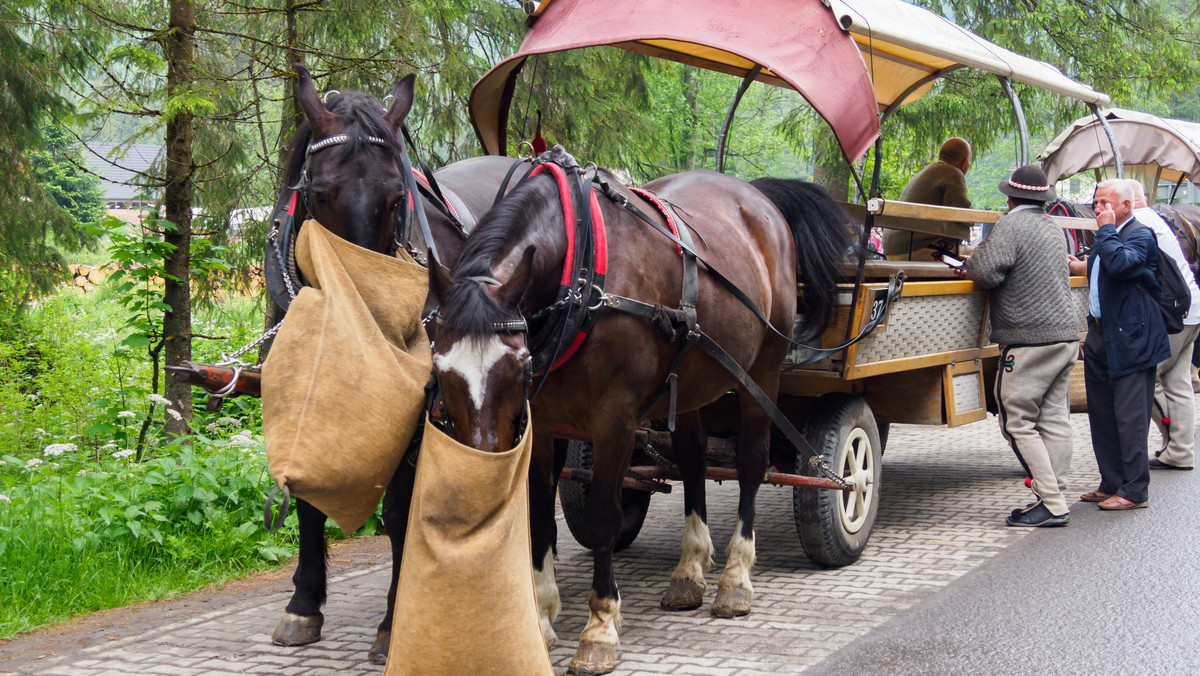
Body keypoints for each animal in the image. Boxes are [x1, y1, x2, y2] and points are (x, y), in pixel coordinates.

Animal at [267, 64, 530, 667]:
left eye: (394, 198)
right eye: (320, 194)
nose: (375, 316)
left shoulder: (421, 407)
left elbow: (400, 510)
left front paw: (393, 622)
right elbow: (309, 502)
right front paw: (303, 604)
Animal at [427, 153, 849, 676]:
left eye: (519, 364)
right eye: (440, 368)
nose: (482, 468)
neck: (580, 274)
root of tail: (756, 196)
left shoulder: (615, 420)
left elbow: (604, 520)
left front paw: (599, 628)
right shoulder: (542, 421)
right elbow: (539, 519)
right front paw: (541, 621)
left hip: (763, 370)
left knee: (753, 462)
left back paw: (735, 578)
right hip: (693, 380)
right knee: (693, 460)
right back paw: (690, 569)